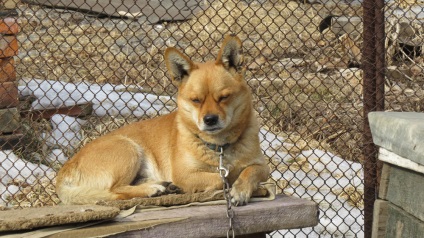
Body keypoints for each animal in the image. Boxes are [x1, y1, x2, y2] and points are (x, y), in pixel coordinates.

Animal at [55, 34, 268, 205]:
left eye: (224, 97)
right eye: (196, 100)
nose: (210, 120)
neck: (220, 147)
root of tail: (64, 172)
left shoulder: (261, 166)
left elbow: (249, 171)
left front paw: (241, 190)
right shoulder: (185, 175)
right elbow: (220, 178)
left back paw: (163, 186)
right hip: (128, 149)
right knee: (115, 190)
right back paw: (154, 190)